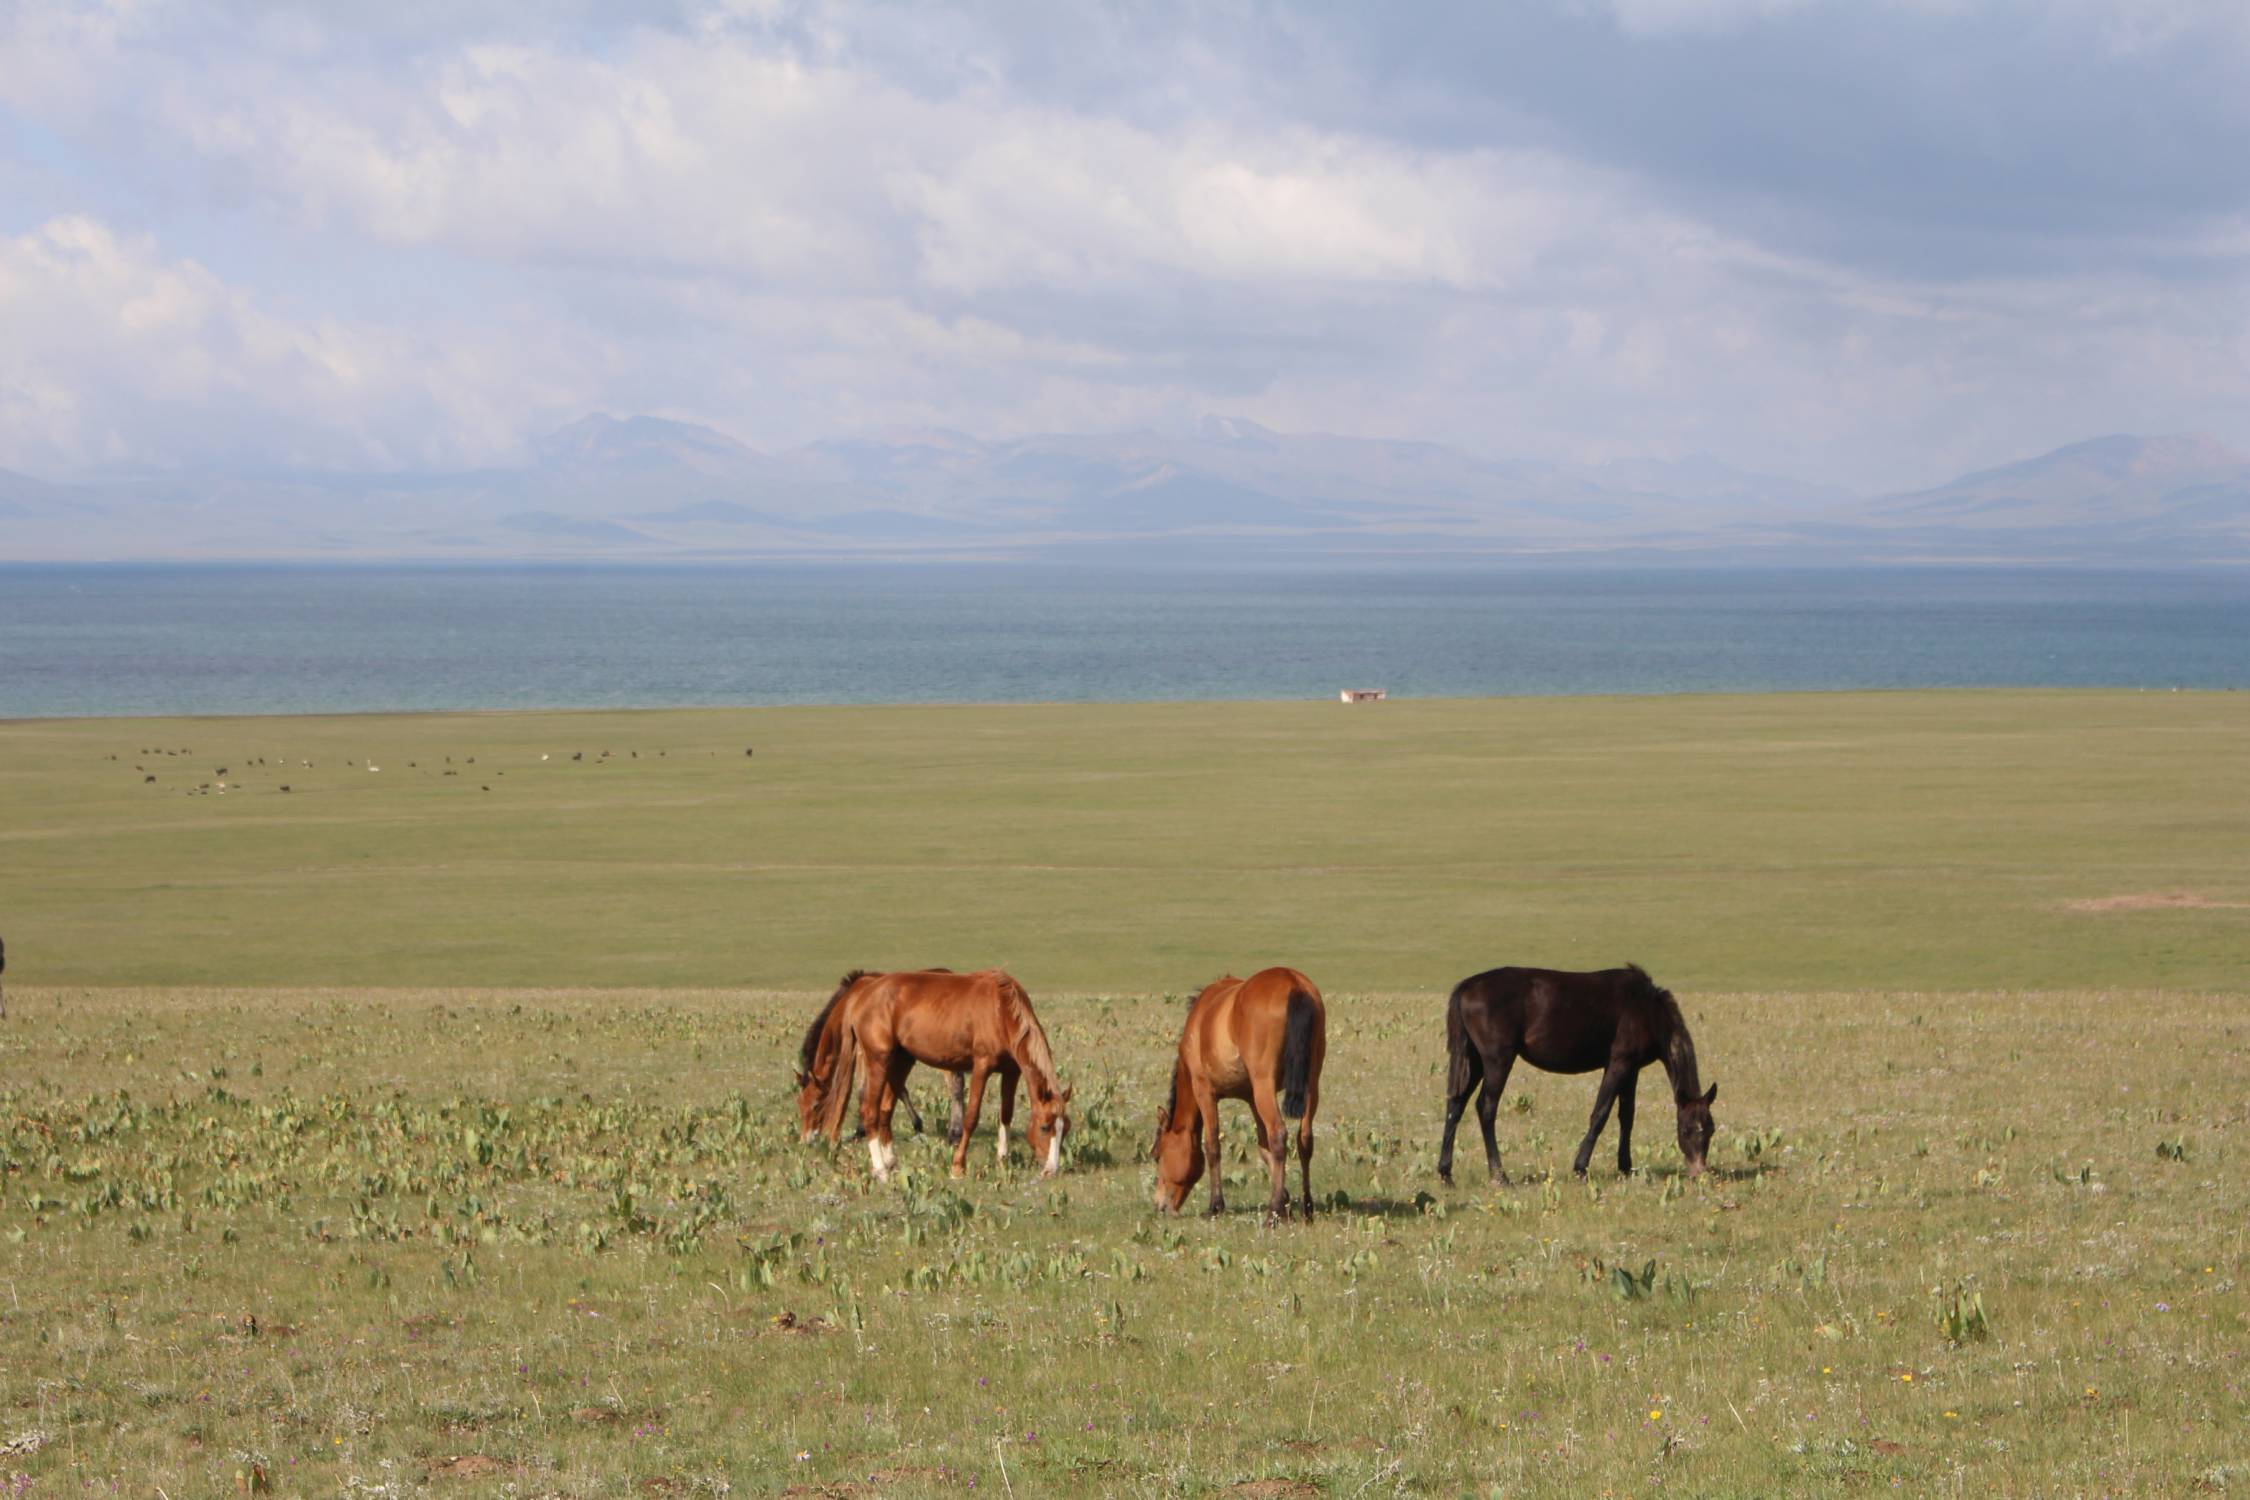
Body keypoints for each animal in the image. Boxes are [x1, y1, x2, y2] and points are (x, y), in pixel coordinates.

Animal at [794, 969, 965, 1144]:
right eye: (799, 1103)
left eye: (816, 1105)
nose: (805, 1140)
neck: (851, 998)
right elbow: (899, 1089)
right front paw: (916, 1125)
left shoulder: (862, 1052)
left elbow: (863, 1090)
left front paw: (860, 1131)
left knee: (955, 1088)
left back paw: (954, 1133)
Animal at [825, 969, 1072, 1182]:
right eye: (1044, 1127)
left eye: (1065, 1128)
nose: (1052, 1170)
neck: (1001, 1010)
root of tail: (864, 993)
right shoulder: (981, 1067)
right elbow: (971, 1117)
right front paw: (958, 1166)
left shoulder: (1011, 1072)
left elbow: (1006, 1115)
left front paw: (1002, 1160)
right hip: (878, 1061)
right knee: (870, 1111)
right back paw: (880, 1171)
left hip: (901, 1060)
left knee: (886, 1110)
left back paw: (891, 1162)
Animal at [1152, 967, 1325, 1221]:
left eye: (1157, 1155)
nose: (1159, 1205)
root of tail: (1293, 983)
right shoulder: (1252, 1098)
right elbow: (1264, 1148)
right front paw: (1284, 1199)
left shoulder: (1204, 1091)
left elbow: (1212, 1145)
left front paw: (1216, 1205)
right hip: (1310, 1085)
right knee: (1304, 1140)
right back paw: (1307, 1208)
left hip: (1265, 1086)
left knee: (1278, 1135)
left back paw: (1272, 1214)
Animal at [1437, 963, 1716, 1185]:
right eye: (1686, 1130)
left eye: (1710, 1130)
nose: (1698, 1171)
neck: (1646, 1009)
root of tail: (1468, 986)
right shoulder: (1618, 1063)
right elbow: (1600, 1113)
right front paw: (1581, 1168)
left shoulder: (1632, 1068)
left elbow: (1627, 1116)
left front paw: (1625, 1167)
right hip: (1497, 1060)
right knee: (1486, 1107)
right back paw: (1500, 1175)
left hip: (1474, 1060)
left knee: (1456, 1105)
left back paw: (1445, 1173)